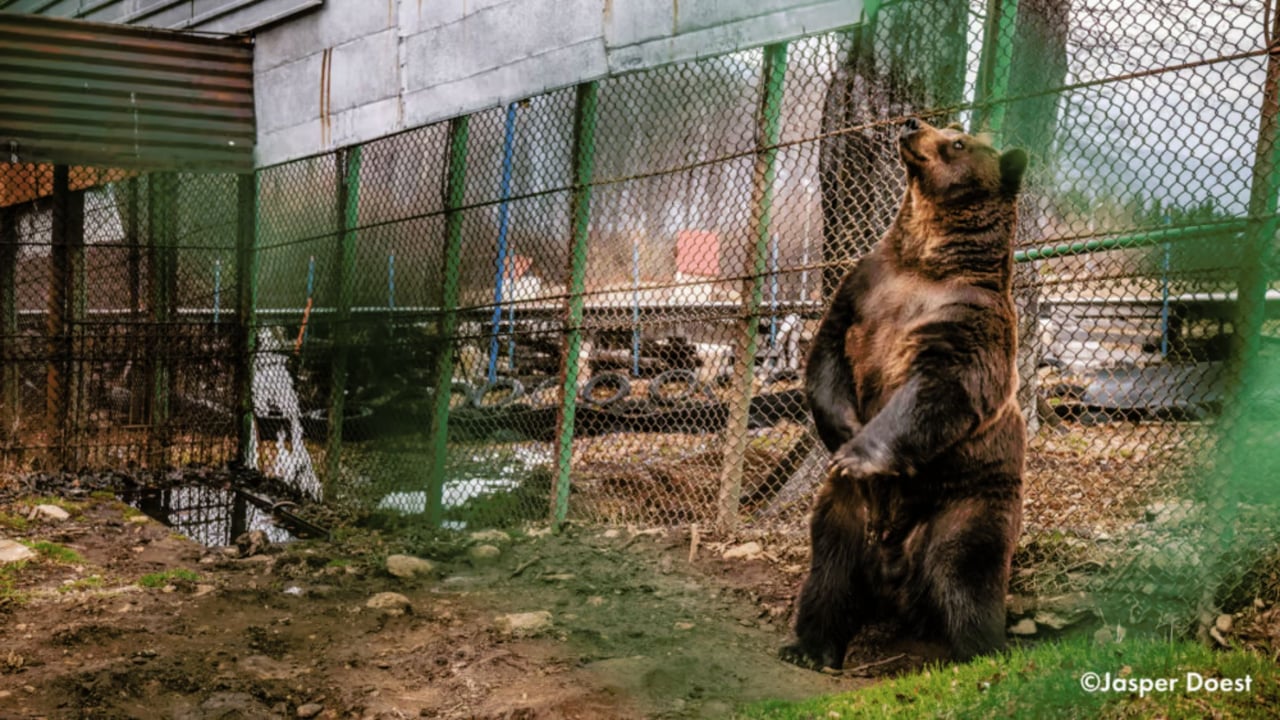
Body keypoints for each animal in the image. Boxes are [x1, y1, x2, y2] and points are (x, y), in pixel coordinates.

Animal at [778, 116, 1029, 666]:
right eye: (951, 125)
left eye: (958, 141)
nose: (912, 123)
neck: (925, 261)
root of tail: (893, 573)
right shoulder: (864, 286)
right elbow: (827, 351)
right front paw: (844, 431)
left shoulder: (969, 318)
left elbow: (942, 387)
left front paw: (858, 453)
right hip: (846, 515)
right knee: (829, 572)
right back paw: (809, 646)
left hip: (967, 501)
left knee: (966, 573)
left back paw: (979, 649)